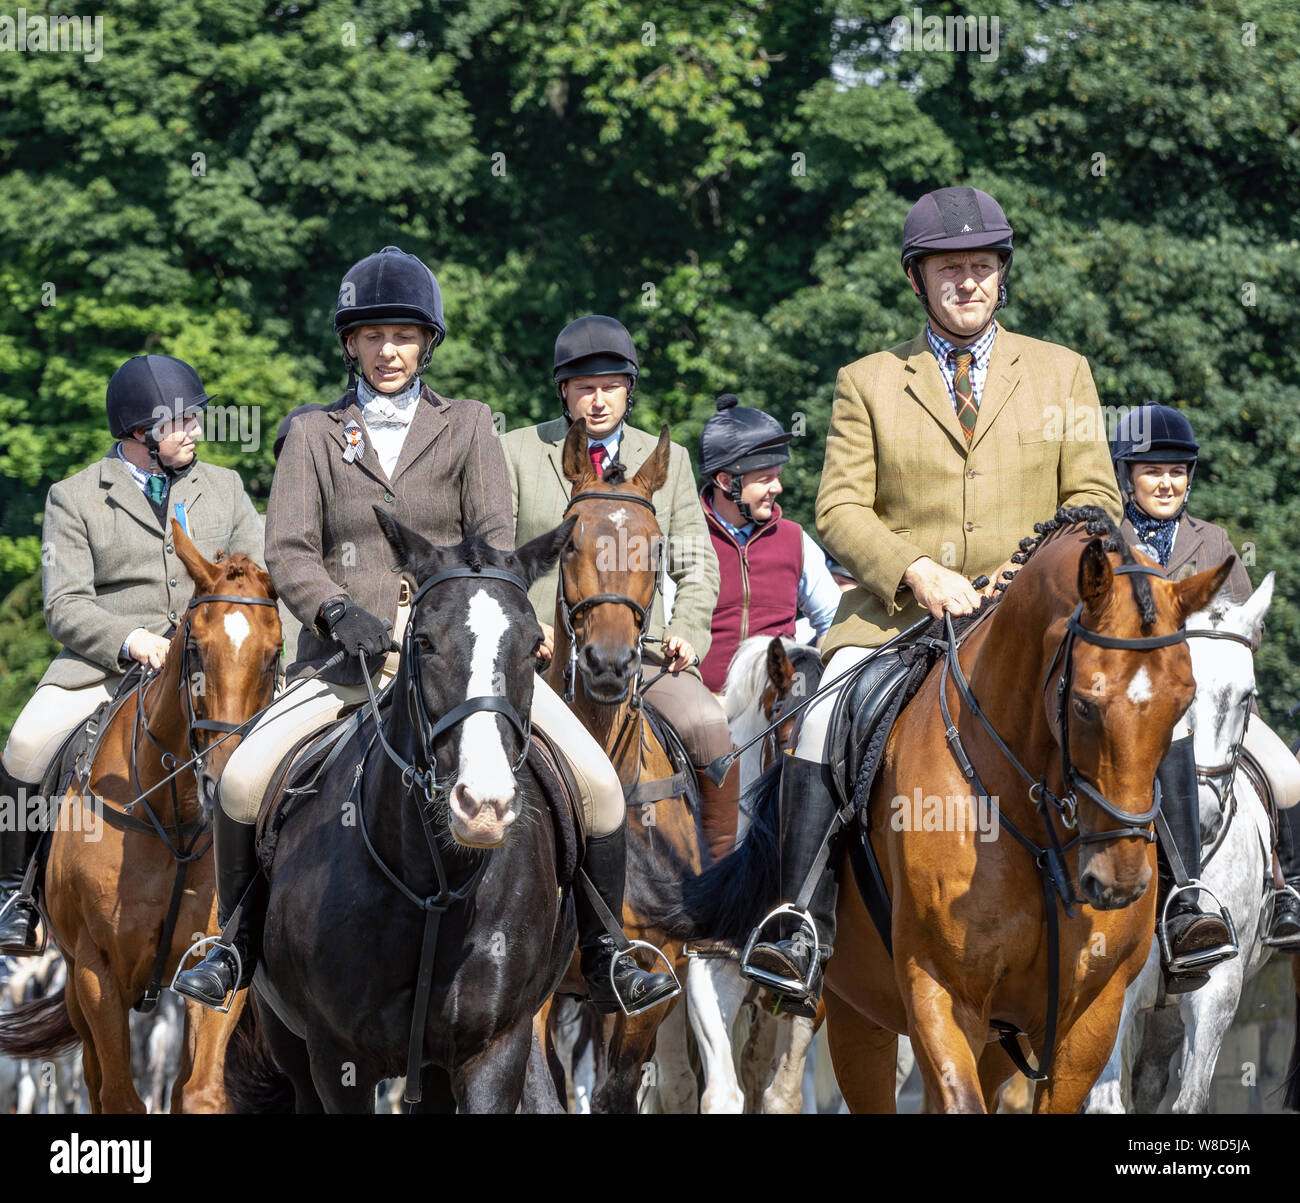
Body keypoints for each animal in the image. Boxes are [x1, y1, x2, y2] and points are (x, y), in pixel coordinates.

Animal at [0, 520, 279, 1113]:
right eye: (194, 648)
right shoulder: (96, 972)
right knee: (95, 1079)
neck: (174, 820)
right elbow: (120, 1097)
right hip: (77, 987)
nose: (221, 779)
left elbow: (199, 1093)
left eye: (274, 653)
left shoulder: (211, 967)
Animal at [228, 512, 579, 1113]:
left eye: (535, 647)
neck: (434, 882)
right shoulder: (334, 1060)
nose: (484, 807)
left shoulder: (494, 1051)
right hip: (286, 1038)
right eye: (424, 641)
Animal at [670, 504, 1227, 1108]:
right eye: (1084, 704)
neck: (1033, 822)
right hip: (858, 1009)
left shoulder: (1090, 1017)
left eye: (1183, 702)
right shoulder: (938, 990)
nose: (1118, 882)